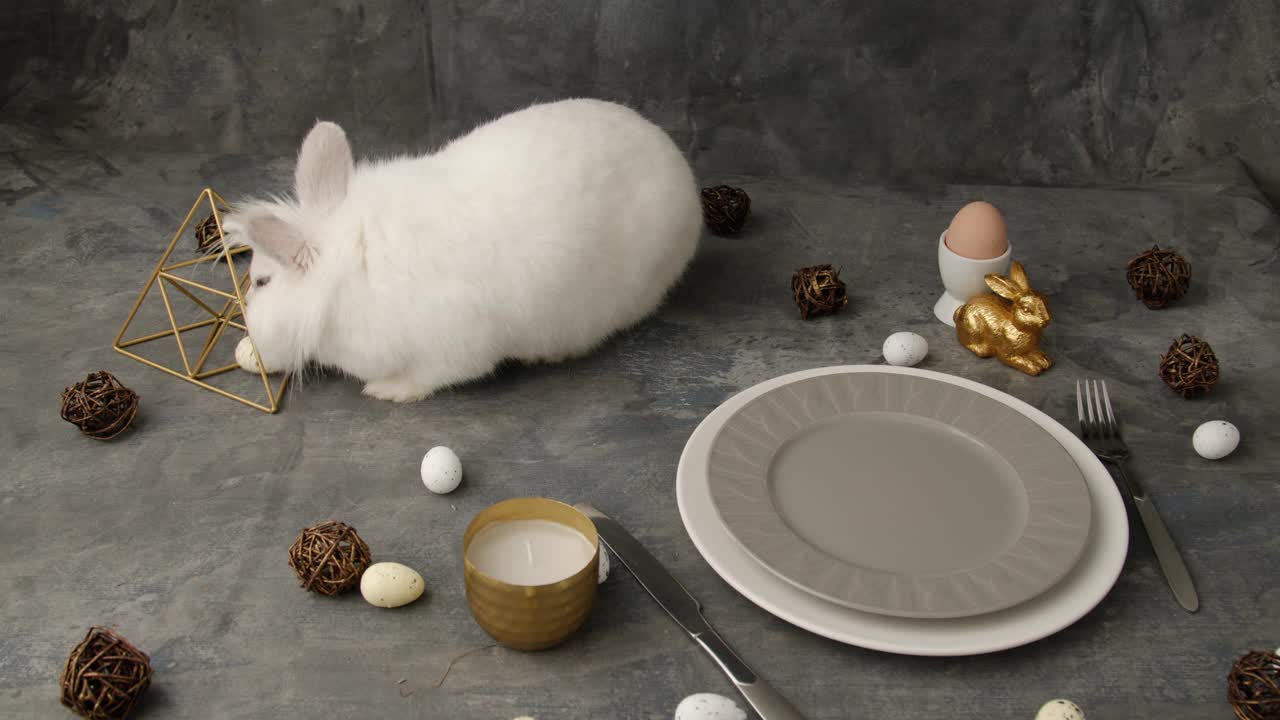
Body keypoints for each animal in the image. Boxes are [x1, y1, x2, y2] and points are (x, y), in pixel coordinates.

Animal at [220, 98, 701, 399]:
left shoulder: (451, 348)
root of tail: (682, 171)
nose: (248, 346)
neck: (348, 263)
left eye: (261, 282)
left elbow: (429, 377)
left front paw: (386, 391)